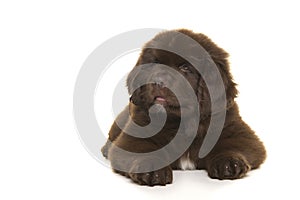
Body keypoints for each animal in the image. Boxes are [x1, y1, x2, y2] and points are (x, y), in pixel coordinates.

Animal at [102, 29, 266, 186]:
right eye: (155, 63)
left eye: (185, 68)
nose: (159, 81)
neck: (183, 121)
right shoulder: (135, 135)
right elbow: (142, 151)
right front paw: (152, 169)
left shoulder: (237, 131)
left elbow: (231, 146)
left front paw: (229, 163)